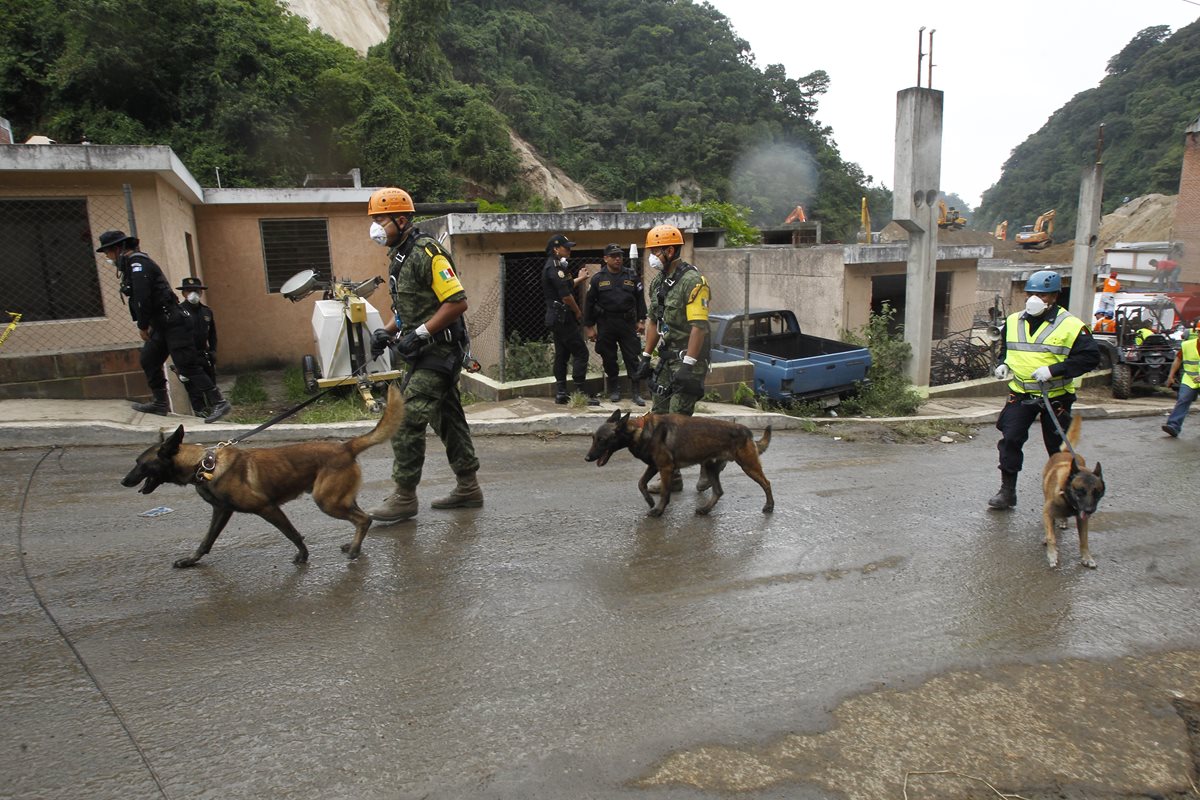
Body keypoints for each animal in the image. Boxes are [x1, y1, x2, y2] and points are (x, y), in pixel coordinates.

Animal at [122, 383, 405, 566]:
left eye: (140, 464)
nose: (124, 481)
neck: (204, 464)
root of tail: (345, 446)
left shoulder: (267, 507)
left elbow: (292, 533)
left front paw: (303, 556)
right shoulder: (221, 511)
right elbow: (207, 540)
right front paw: (191, 559)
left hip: (327, 501)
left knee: (363, 519)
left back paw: (354, 550)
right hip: (339, 497)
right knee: (362, 517)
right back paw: (354, 544)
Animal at [583, 410, 772, 515]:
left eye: (602, 440)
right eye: (593, 438)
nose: (587, 458)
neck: (638, 430)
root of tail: (747, 431)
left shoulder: (665, 468)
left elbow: (665, 493)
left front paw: (658, 510)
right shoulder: (654, 466)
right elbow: (641, 483)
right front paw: (650, 501)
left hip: (748, 466)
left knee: (767, 483)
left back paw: (769, 506)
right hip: (710, 467)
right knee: (718, 491)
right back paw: (705, 510)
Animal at [1041, 412, 1104, 568]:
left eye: (1097, 493)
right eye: (1080, 491)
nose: (1089, 510)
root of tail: (1066, 451)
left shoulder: (1082, 520)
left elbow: (1084, 540)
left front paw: (1087, 557)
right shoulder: (1047, 512)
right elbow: (1051, 536)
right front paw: (1052, 554)